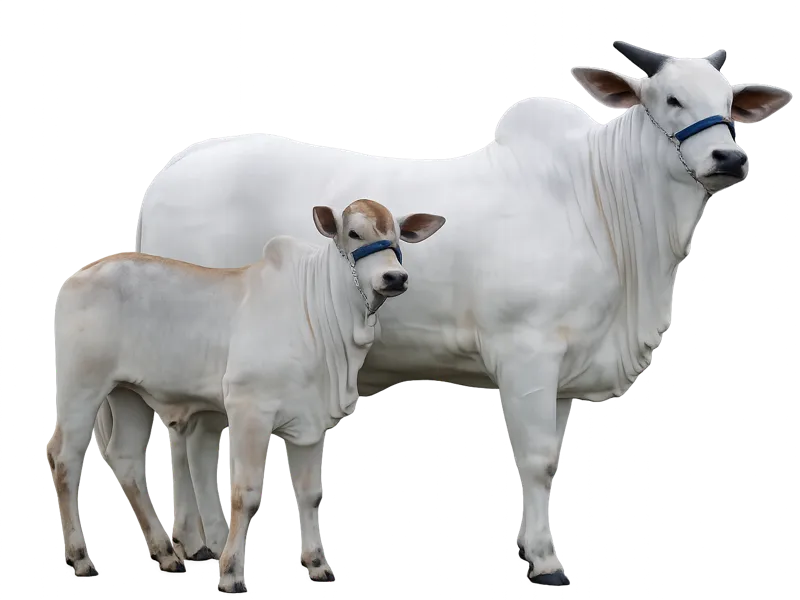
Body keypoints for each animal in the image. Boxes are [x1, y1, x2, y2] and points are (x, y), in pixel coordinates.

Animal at [47, 199, 446, 593]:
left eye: (398, 235)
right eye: (354, 233)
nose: (395, 277)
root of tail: (82, 273)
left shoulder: (310, 422)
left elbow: (310, 492)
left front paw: (317, 564)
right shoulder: (248, 410)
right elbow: (246, 494)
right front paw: (231, 573)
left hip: (128, 394)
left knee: (127, 459)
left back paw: (167, 554)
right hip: (82, 385)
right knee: (64, 456)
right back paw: (80, 558)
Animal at [91, 42, 791, 586]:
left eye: (729, 102)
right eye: (670, 99)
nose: (729, 159)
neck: (603, 207)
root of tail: (174, 169)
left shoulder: (567, 371)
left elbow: (551, 461)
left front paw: (531, 547)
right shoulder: (527, 351)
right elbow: (537, 458)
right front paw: (546, 563)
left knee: (189, 440)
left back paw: (196, 543)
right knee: (193, 443)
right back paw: (203, 545)